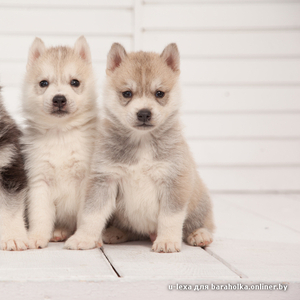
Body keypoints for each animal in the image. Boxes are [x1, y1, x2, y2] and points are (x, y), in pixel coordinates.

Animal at [24, 36, 98, 250]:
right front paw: (36, 237)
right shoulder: (39, 181)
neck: (61, 134)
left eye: (75, 82)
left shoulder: (86, 181)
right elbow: (40, 215)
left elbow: (85, 216)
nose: (59, 99)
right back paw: (60, 232)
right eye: (43, 83)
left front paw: (84, 238)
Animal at [66, 42, 216, 253]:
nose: (144, 113)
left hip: (198, 200)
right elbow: (92, 214)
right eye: (127, 93)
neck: (142, 141)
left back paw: (200, 234)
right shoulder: (104, 179)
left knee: (200, 223)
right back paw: (115, 233)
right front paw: (84, 238)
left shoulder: (174, 181)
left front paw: (167, 240)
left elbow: (170, 218)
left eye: (159, 93)